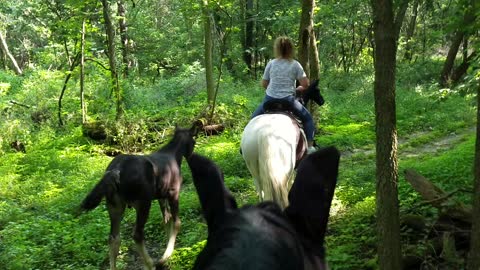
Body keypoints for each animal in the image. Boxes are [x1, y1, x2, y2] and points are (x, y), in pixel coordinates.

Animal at [80, 127, 195, 270]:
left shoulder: (161, 196)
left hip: (114, 205)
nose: (191, 155)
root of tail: (116, 170)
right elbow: (176, 222)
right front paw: (165, 256)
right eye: (194, 140)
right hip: (143, 203)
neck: (174, 155)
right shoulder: (173, 193)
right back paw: (150, 263)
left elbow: (166, 221)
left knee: (114, 238)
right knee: (137, 234)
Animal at [242, 80, 324, 209]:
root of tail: (264, 133)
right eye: (317, 90)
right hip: (286, 168)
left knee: (260, 191)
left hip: (253, 168)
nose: (322, 101)